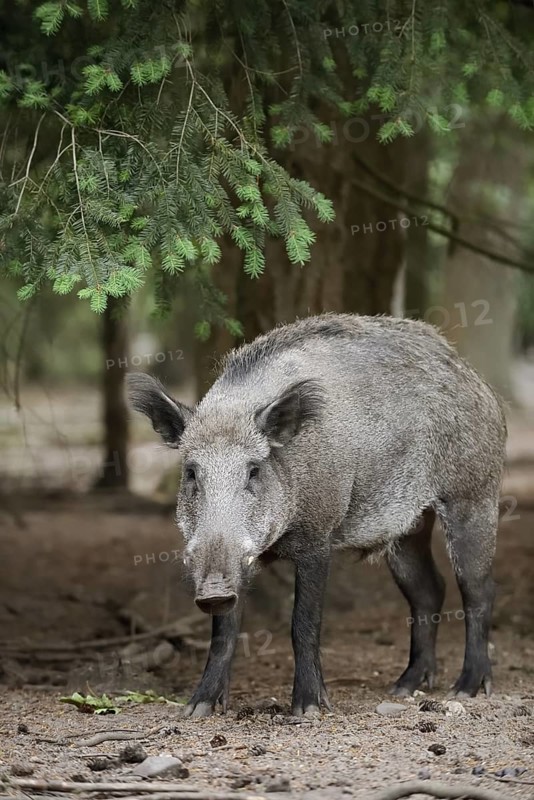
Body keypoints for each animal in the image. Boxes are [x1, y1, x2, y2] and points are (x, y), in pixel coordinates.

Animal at [127, 313, 507, 718]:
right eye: (191, 473)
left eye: (254, 470)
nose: (213, 590)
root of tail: (482, 386)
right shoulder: (240, 562)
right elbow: (224, 632)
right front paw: (198, 709)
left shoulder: (318, 537)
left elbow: (304, 623)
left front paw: (308, 709)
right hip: (408, 528)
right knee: (429, 591)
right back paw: (403, 688)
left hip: (473, 495)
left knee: (478, 589)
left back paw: (464, 690)